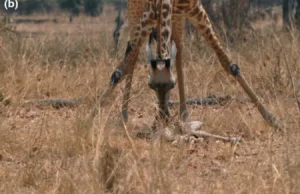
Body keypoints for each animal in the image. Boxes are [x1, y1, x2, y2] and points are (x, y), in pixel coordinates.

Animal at [88, 0, 284, 136]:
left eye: (172, 85)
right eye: (151, 86)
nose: (163, 117)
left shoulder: (195, 10)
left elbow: (229, 64)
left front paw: (274, 120)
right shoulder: (148, 14)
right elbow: (119, 71)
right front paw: (88, 118)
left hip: (176, 17)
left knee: (179, 52)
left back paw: (183, 115)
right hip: (137, 9)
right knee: (133, 54)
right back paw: (125, 115)